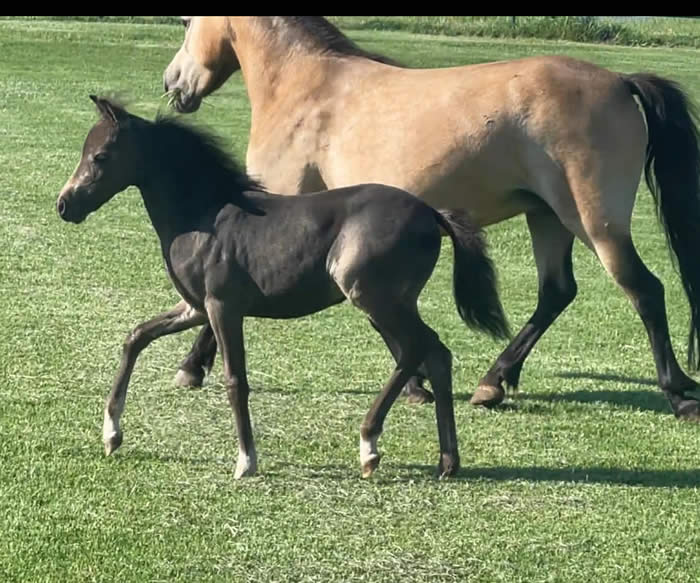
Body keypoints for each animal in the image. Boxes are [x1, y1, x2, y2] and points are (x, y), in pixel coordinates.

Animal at [55, 95, 510, 479]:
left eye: (99, 156)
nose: (64, 205)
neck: (204, 215)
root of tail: (432, 213)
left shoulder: (222, 308)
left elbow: (235, 379)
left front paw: (246, 461)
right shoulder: (195, 308)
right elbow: (136, 337)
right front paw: (111, 435)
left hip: (373, 298)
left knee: (416, 350)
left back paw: (369, 445)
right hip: (391, 304)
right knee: (436, 354)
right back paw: (447, 461)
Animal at [162, 16, 700, 421]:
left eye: (187, 22)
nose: (171, 84)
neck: (307, 84)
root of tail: (621, 82)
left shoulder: (281, 202)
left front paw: (191, 367)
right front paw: (417, 381)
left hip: (594, 222)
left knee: (644, 290)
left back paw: (678, 393)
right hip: (547, 218)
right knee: (556, 293)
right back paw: (493, 382)